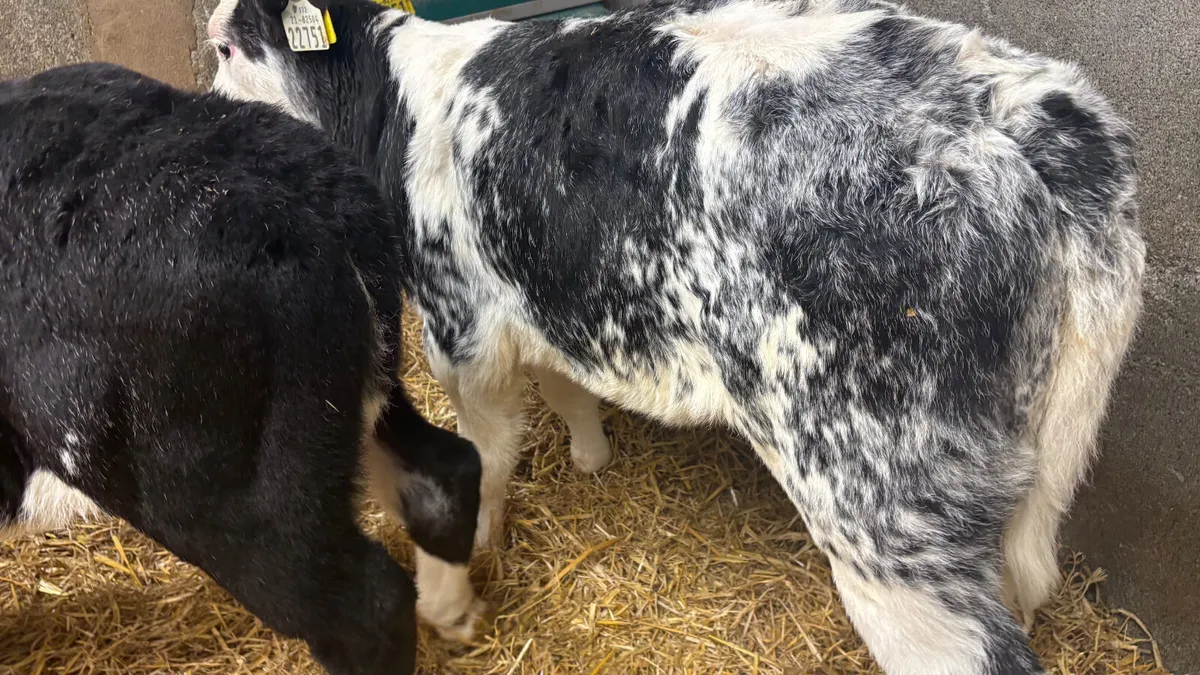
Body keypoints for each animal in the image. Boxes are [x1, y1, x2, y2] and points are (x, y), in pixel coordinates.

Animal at [207, 1, 1147, 672]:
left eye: (224, 48)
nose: (208, 114)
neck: (390, 105)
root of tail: (1010, 117)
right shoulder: (547, 292)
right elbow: (566, 387)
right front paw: (590, 456)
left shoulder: (460, 322)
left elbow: (484, 453)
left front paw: (453, 584)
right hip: (1030, 472)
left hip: (883, 505)